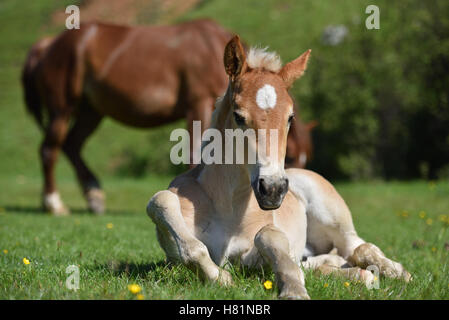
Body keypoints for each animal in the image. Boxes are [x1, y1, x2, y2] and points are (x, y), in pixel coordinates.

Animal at [22, 18, 314, 216]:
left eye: (289, 118)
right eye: (239, 116)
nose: (274, 189)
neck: (209, 48)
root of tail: (48, 45)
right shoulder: (197, 104)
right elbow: (195, 152)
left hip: (91, 112)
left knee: (72, 146)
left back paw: (93, 196)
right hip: (62, 110)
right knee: (50, 149)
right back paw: (53, 203)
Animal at [147, 36, 410, 298]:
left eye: (290, 117)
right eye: (239, 116)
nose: (272, 189)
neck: (228, 205)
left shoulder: (256, 254)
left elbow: (269, 236)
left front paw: (294, 290)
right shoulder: (174, 255)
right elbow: (164, 204)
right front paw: (221, 278)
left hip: (331, 214)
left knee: (358, 246)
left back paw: (395, 271)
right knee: (332, 258)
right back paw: (354, 272)